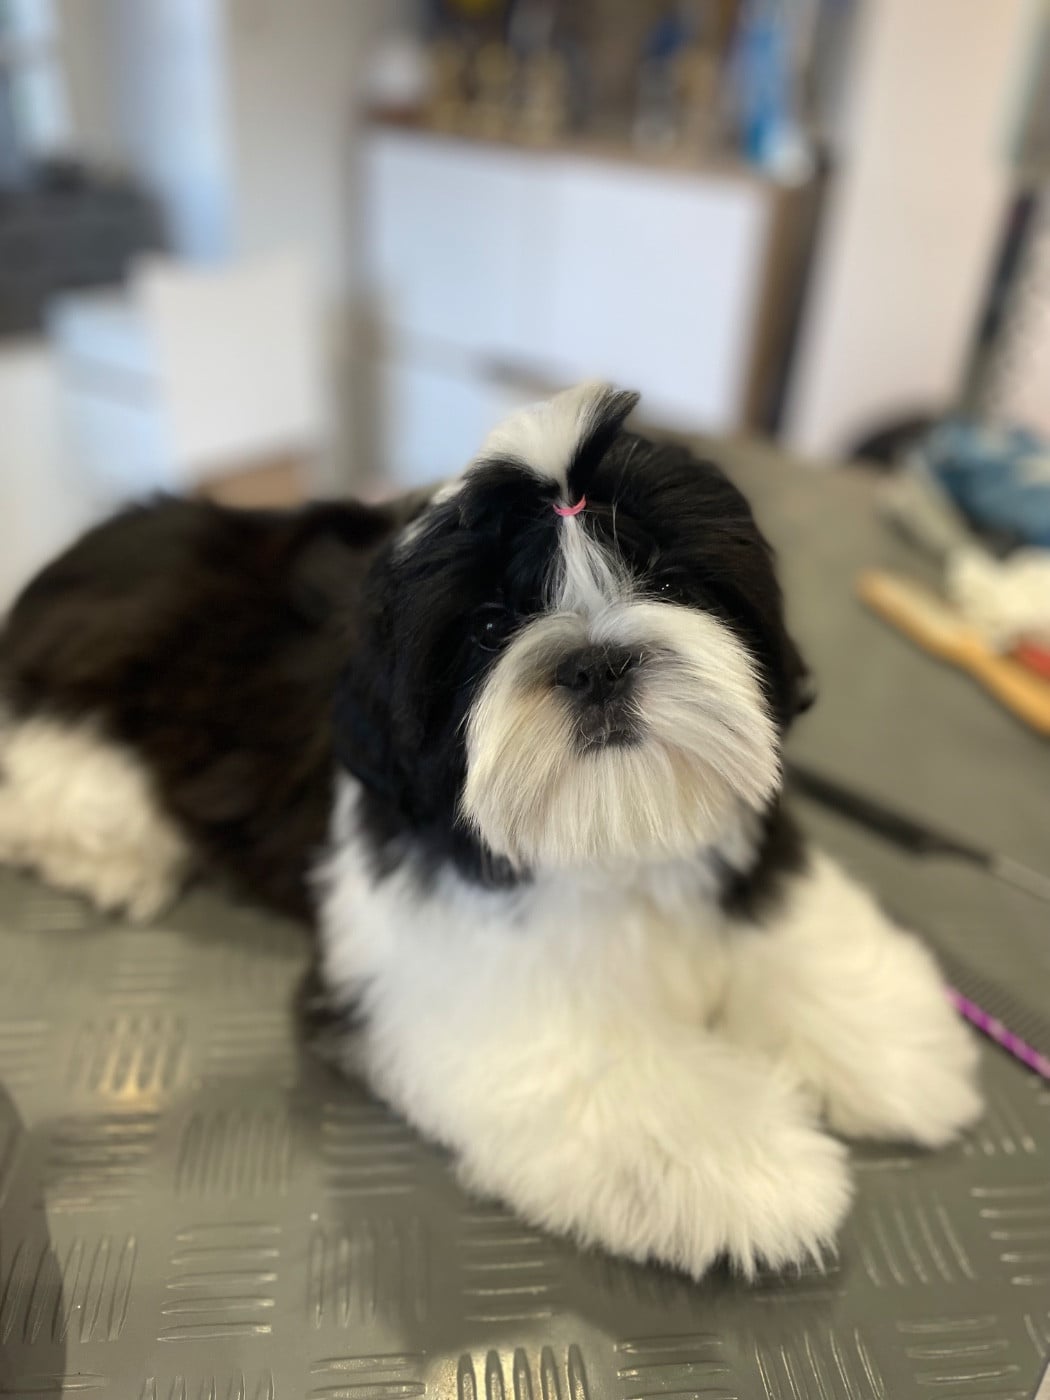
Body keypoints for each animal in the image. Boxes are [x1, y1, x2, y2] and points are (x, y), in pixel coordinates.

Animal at [0, 381, 981, 1278]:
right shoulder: (445, 967)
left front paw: (893, 1045)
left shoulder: (743, 843)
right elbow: (595, 1055)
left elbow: (795, 926)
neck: (605, 843)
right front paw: (751, 1164)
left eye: (666, 580)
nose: (597, 662)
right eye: (488, 625)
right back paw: (121, 851)